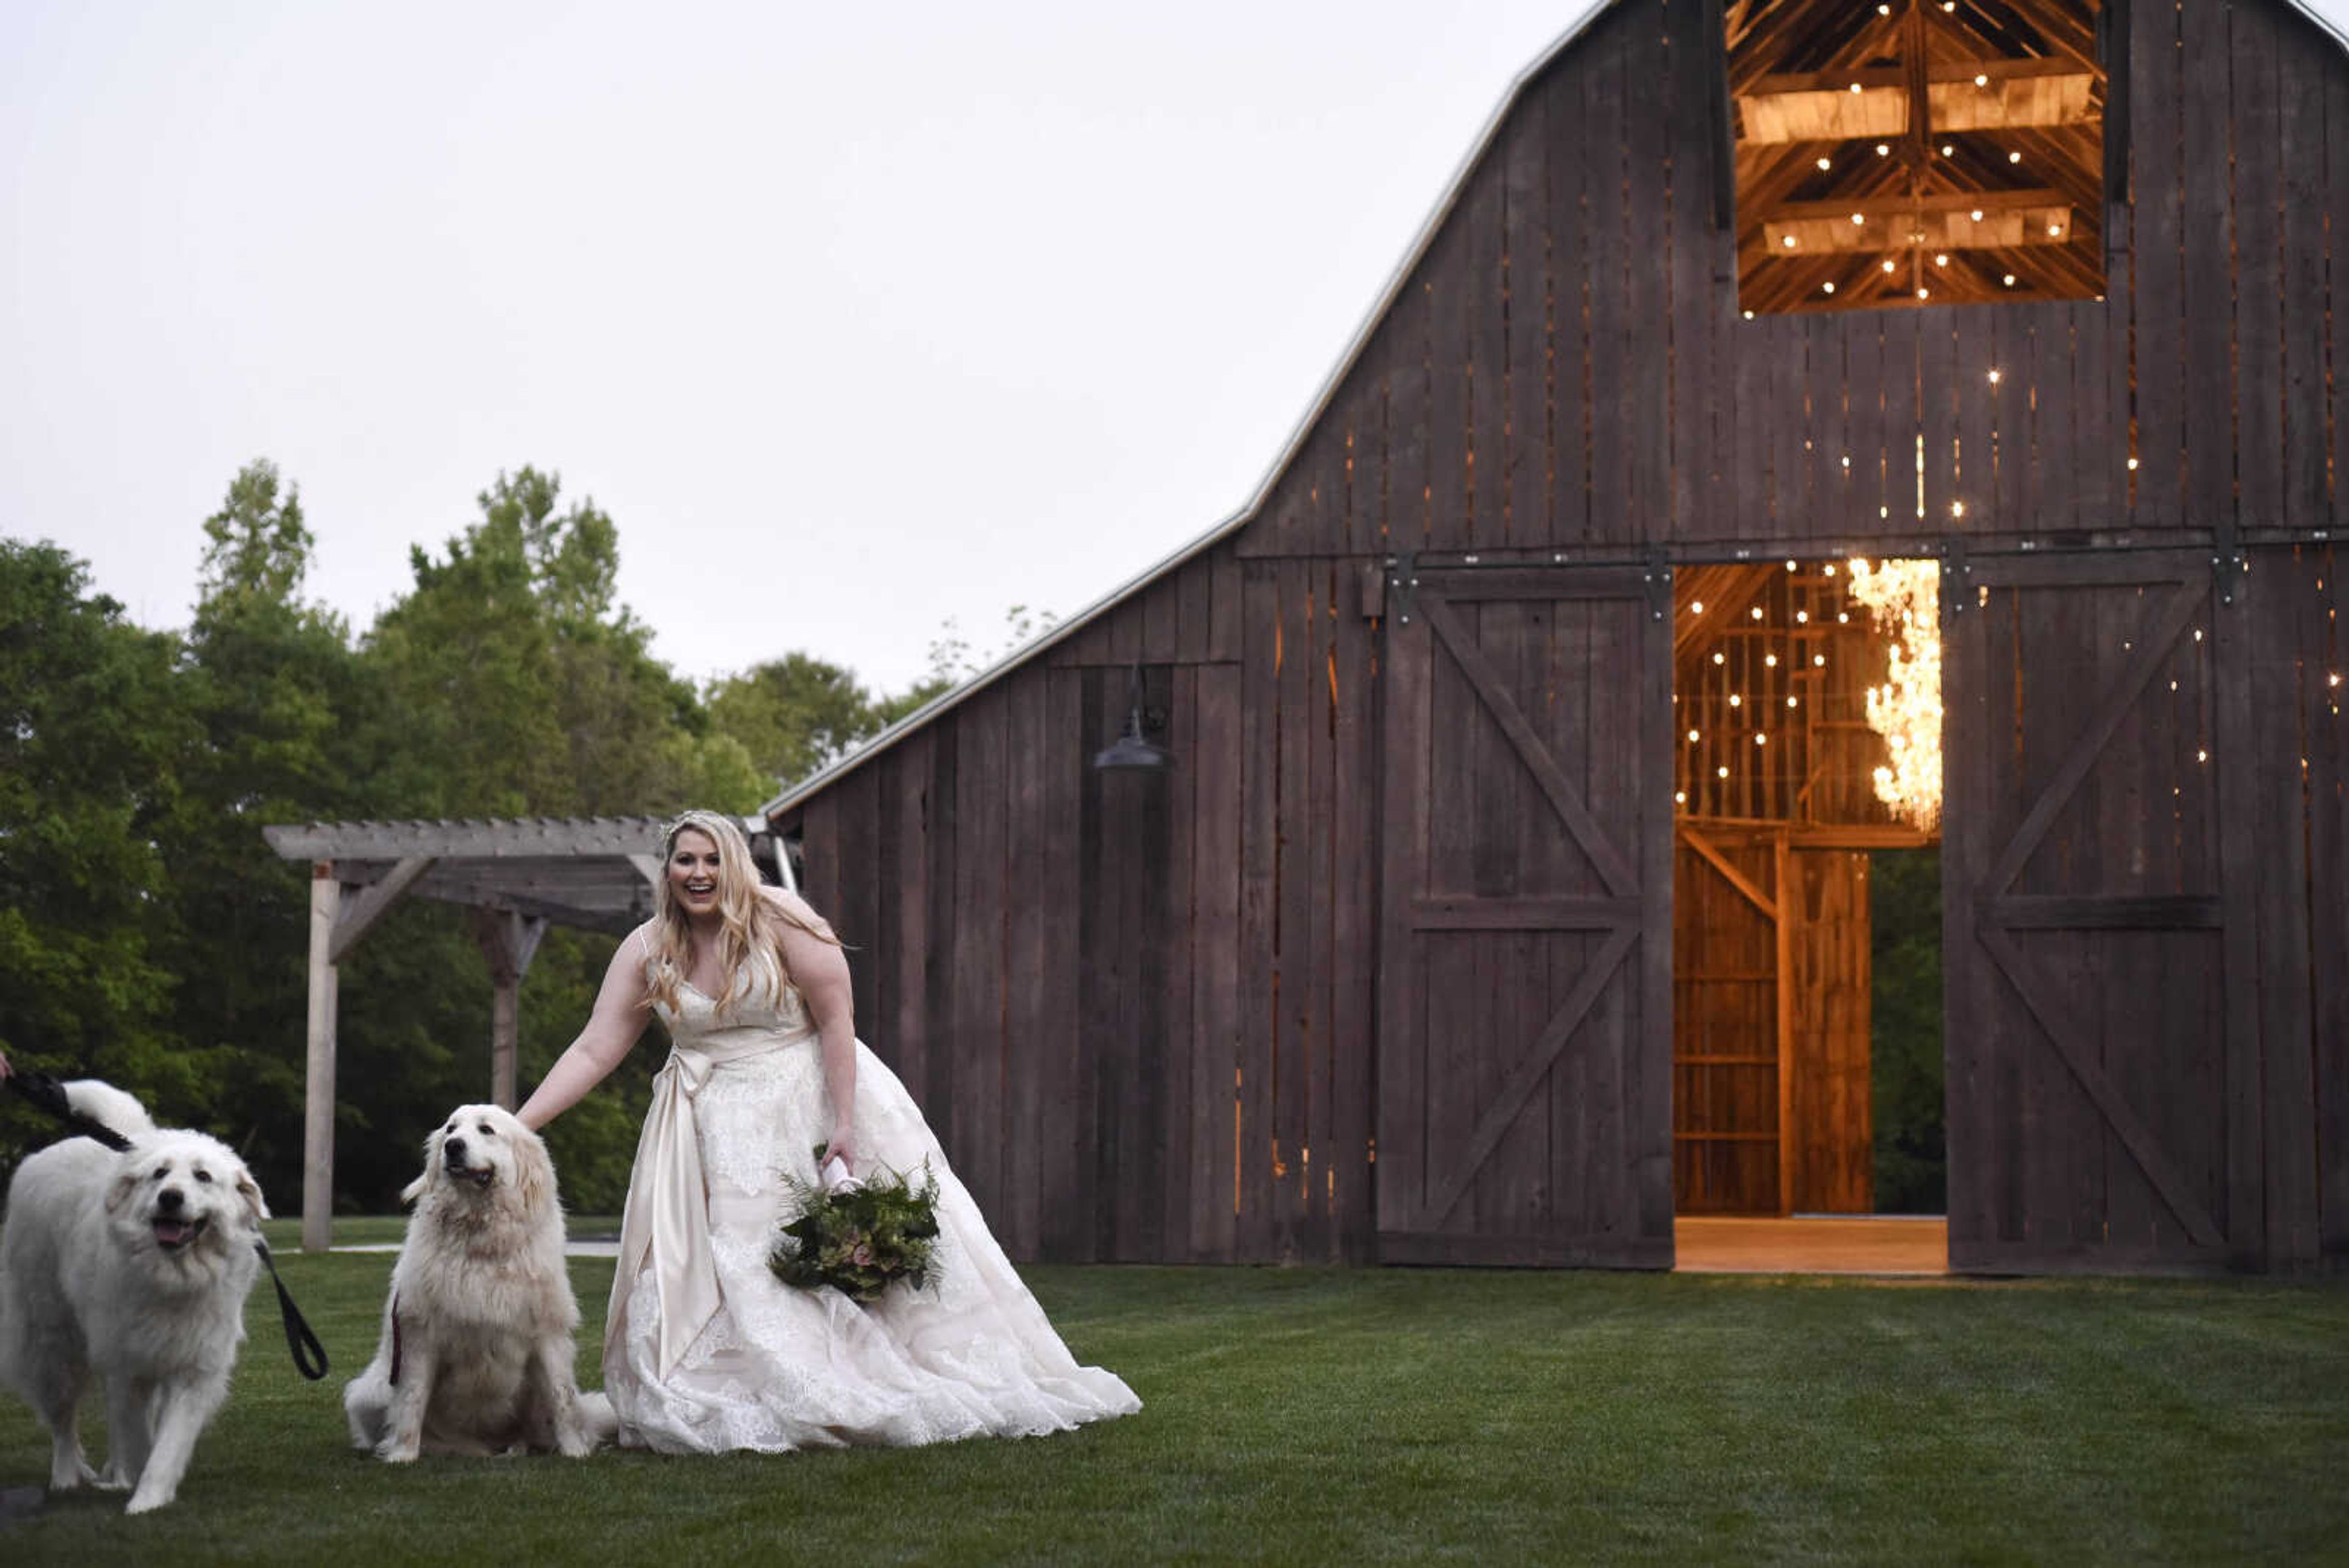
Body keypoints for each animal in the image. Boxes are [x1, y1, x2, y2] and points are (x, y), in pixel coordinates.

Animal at [0, 1086, 269, 1514]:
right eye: (159, 1174)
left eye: (203, 1177)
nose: (171, 1198)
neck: (173, 1277)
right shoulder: (129, 1367)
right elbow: (140, 1439)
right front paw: (141, 1495)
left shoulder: (193, 1368)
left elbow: (168, 1444)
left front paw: (149, 1498)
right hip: (53, 1345)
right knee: (63, 1420)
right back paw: (66, 1476)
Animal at [343, 1105, 615, 1457]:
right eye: (450, 1129)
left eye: (486, 1130)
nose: (453, 1146)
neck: (481, 1242)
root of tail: (485, 1444)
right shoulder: (420, 1335)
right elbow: (411, 1402)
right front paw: (402, 1456)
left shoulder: (547, 1332)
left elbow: (562, 1399)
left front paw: (575, 1452)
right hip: (370, 1393)